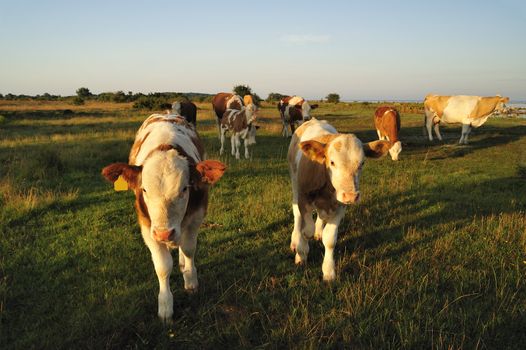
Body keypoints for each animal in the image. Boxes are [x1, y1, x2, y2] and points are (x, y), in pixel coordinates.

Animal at [101, 113, 227, 322]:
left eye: (184, 189)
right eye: (144, 189)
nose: (164, 234)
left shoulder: (196, 217)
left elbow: (189, 249)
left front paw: (191, 281)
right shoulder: (147, 227)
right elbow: (162, 266)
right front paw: (165, 305)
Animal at [288, 119, 392, 280]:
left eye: (362, 163)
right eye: (332, 162)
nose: (351, 196)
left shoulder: (340, 207)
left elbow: (330, 239)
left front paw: (329, 271)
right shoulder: (304, 199)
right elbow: (306, 230)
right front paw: (301, 254)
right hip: (294, 183)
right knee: (297, 216)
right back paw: (295, 240)